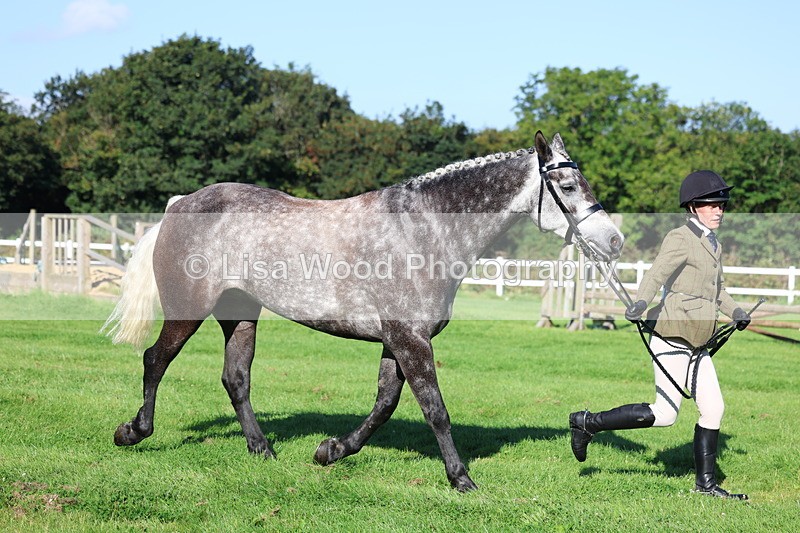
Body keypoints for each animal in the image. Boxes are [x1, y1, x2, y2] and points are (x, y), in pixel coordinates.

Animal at [104, 131, 623, 491]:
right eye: (568, 185)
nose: (614, 240)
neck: (424, 230)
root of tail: (179, 205)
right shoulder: (410, 339)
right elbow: (435, 409)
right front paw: (461, 479)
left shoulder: (398, 340)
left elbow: (385, 403)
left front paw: (331, 451)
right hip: (187, 310)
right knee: (155, 360)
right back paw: (133, 431)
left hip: (241, 314)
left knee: (236, 379)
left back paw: (262, 449)